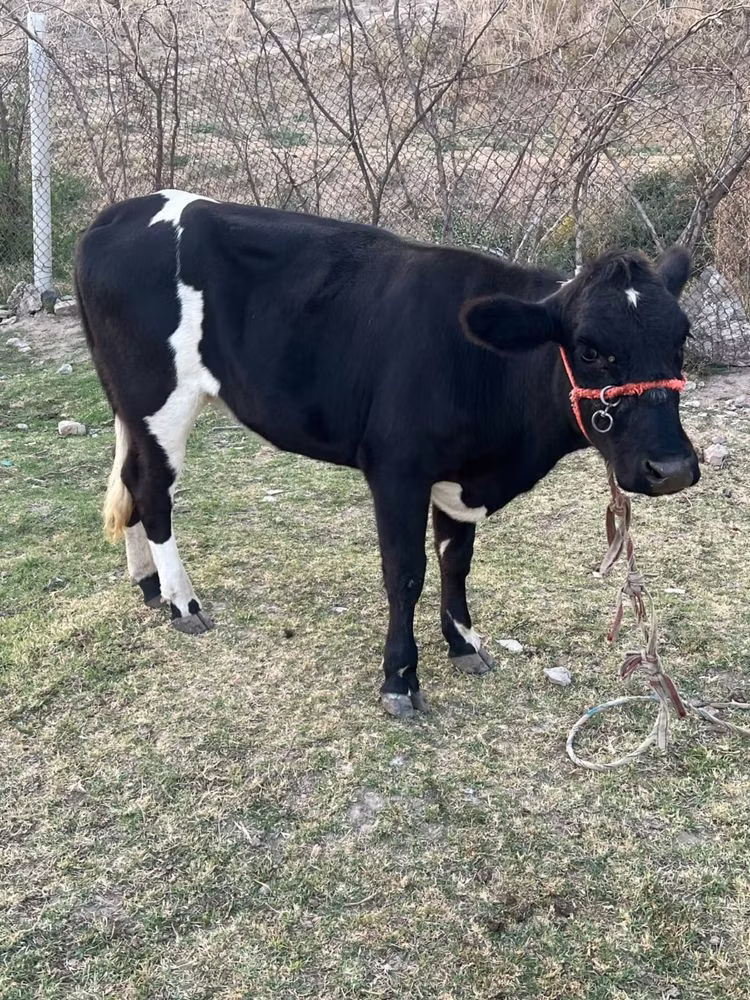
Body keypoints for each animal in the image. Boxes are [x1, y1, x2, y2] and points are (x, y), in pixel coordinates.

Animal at [75, 190, 699, 718]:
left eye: (682, 339)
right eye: (589, 349)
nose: (671, 469)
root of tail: (121, 212)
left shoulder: (460, 477)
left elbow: (456, 560)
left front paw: (464, 643)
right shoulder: (397, 469)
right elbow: (405, 572)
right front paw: (400, 678)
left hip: (132, 406)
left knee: (130, 478)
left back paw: (149, 584)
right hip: (158, 398)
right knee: (153, 490)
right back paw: (183, 604)